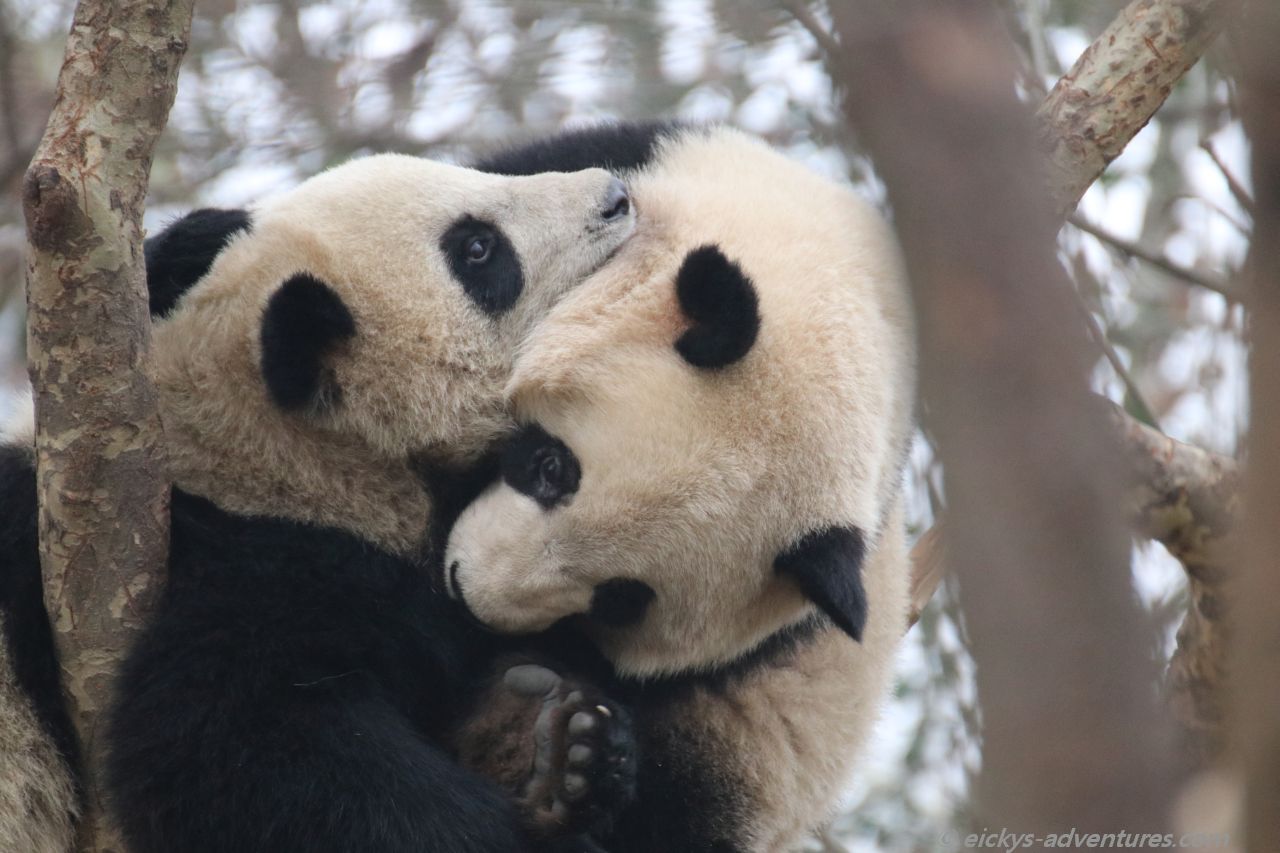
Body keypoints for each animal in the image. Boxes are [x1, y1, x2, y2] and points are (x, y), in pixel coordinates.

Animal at [0, 152, 638, 853]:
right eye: (477, 249)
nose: (617, 196)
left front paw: (554, 745)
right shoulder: (249, 569)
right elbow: (226, 746)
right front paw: (537, 799)